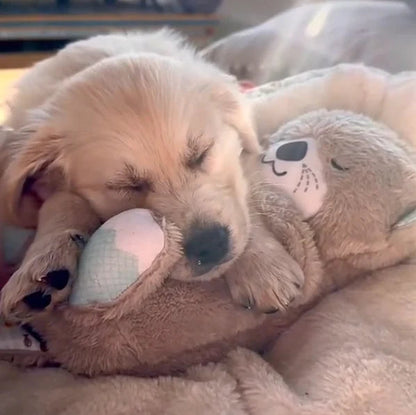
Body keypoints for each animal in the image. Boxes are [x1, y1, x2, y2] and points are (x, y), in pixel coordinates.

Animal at [0, 30, 302, 322]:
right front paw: (44, 264)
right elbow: (61, 202)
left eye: (202, 153)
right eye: (126, 185)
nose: (210, 246)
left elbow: (242, 197)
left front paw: (262, 266)